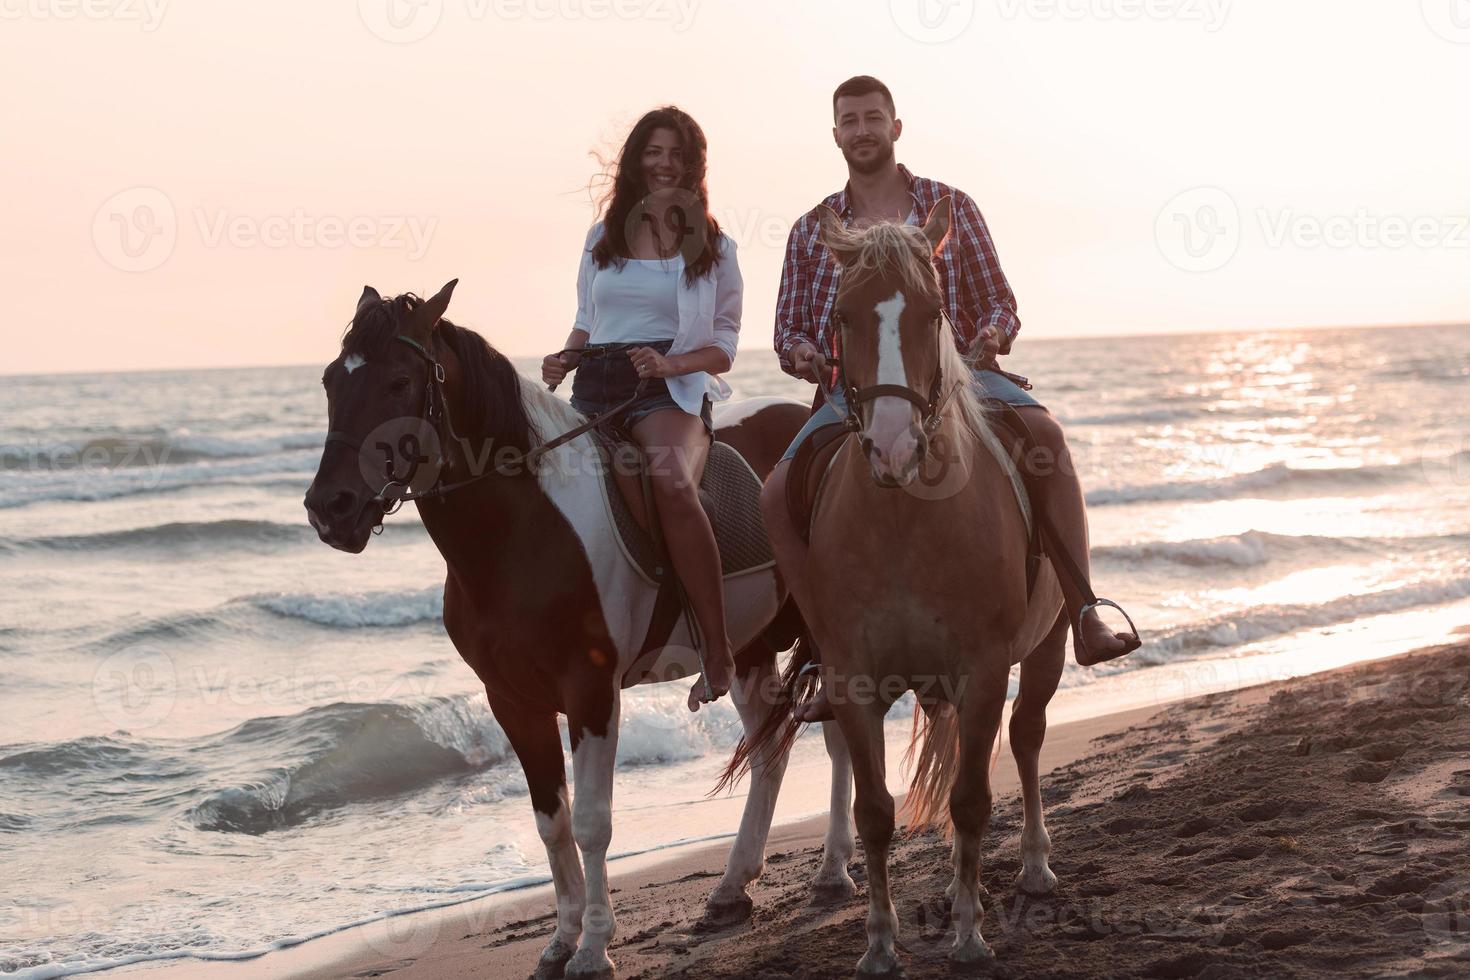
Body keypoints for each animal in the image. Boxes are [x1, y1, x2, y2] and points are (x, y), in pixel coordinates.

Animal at [305, 282, 858, 980]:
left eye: (401, 382)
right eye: (331, 380)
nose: (330, 508)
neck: (521, 531)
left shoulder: (591, 691)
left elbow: (594, 822)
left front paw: (595, 948)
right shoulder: (512, 700)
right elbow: (553, 823)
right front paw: (560, 940)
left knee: (838, 734)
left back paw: (834, 871)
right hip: (747, 649)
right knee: (770, 750)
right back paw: (732, 889)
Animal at [782, 201, 1070, 975]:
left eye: (933, 311)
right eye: (843, 315)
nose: (893, 446)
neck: (905, 521)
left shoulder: (983, 669)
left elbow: (972, 799)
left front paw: (969, 937)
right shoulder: (853, 681)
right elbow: (876, 812)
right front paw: (880, 945)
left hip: (1048, 646)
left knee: (1026, 738)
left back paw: (1035, 866)